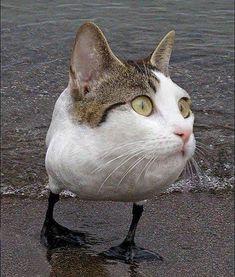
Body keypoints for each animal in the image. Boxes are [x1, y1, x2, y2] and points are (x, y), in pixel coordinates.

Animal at [41, 21, 196, 260]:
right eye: (142, 105)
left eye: (183, 107)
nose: (185, 133)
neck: (119, 152)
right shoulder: (56, 171)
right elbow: (52, 199)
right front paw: (51, 231)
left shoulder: (144, 192)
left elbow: (137, 212)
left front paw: (128, 247)